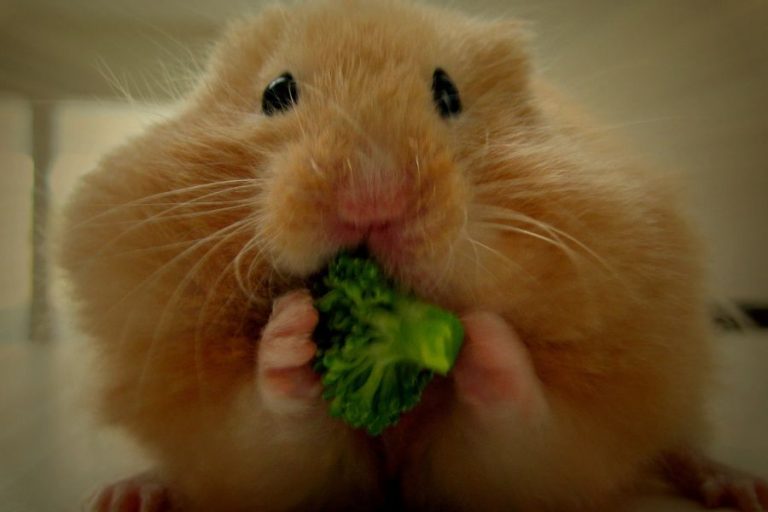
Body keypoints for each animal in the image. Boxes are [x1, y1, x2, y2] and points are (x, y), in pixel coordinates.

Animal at [58, 0, 768, 511]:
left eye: (448, 93)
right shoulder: (252, 453)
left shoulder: (548, 451)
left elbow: (516, 424)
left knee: (678, 443)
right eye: (277, 91)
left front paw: (483, 338)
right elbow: (274, 425)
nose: (373, 198)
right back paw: (128, 494)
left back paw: (737, 485)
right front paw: (290, 332)